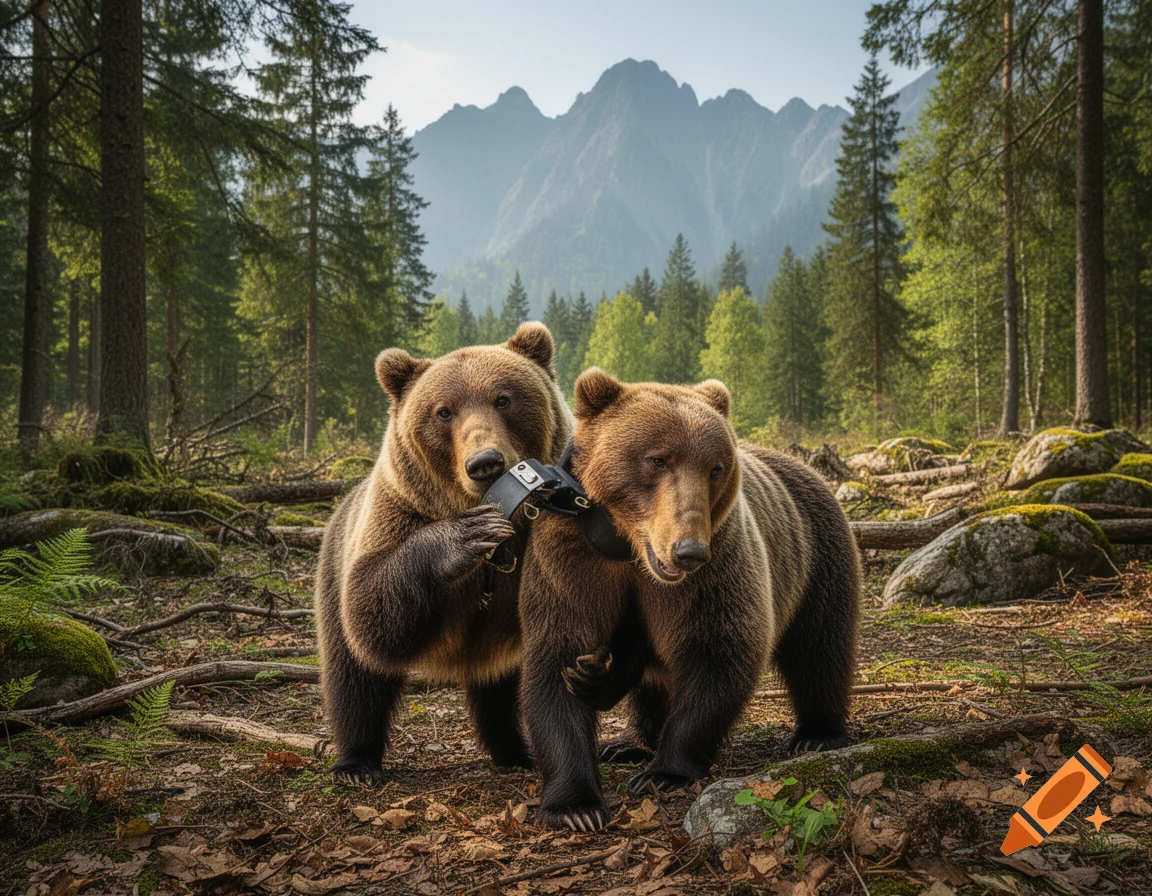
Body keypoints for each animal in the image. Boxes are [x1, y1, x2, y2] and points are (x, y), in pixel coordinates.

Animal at [315, 323, 573, 785]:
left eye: (503, 398)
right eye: (443, 411)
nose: (485, 462)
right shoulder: (395, 515)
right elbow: (370, 610)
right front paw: (468, 535)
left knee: (501, 689)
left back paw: (514, 748)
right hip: (333, 569)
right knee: (353, 676)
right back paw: (355, 762)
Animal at [518, 369, 862, 830]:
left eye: (715, 468)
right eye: (657, 459)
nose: (689, 550)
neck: (630, 550)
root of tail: (809, 472)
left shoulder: (716, 569)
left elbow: (717, 652)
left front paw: (664, 772)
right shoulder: (569, 564)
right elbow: (557, 660)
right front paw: (576, 806)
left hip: (816, 555)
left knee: (820, 647)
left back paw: (817, 734)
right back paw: (628, 741)